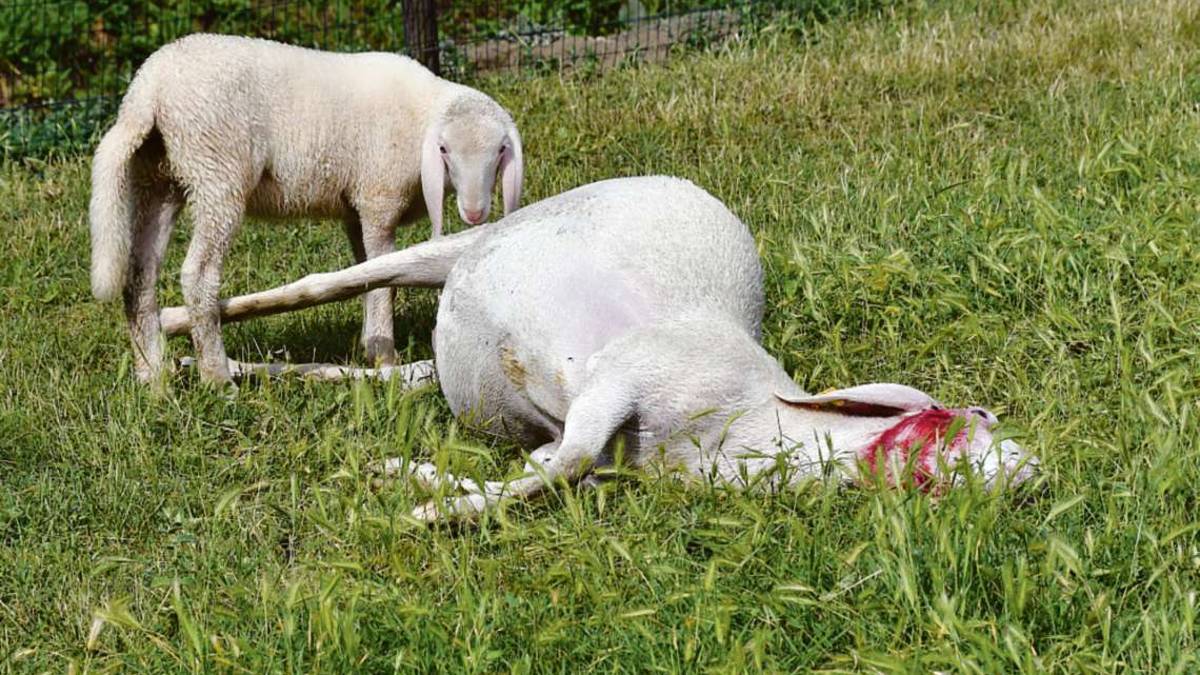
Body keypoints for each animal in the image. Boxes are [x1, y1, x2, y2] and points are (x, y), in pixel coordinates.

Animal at [89, 33, 524, 386]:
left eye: (501, 150)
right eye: (444, 150)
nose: (475, 214)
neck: (421, 117)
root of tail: (147, 89)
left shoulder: (355, 209)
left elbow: (367, 272)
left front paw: (370, 343)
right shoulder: (378, 198)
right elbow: (383, 280)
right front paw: (385, 356)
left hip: (158, 178)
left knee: (139, 276)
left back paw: (153, 375)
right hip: (217, 171)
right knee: (198, 275)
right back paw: (217, 379)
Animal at [159, 177, 1039, 520]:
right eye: (970, 422)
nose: (1034, 476)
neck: (742, 425)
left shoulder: (607, 445)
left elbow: (549, 472)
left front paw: (408, 478)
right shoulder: (622, 379)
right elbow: (563, 465)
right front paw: (428, 510)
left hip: (435, 359)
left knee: (382, 375)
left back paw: (210, 368)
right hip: (455, 246)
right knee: (318, 280)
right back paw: (168, 330)